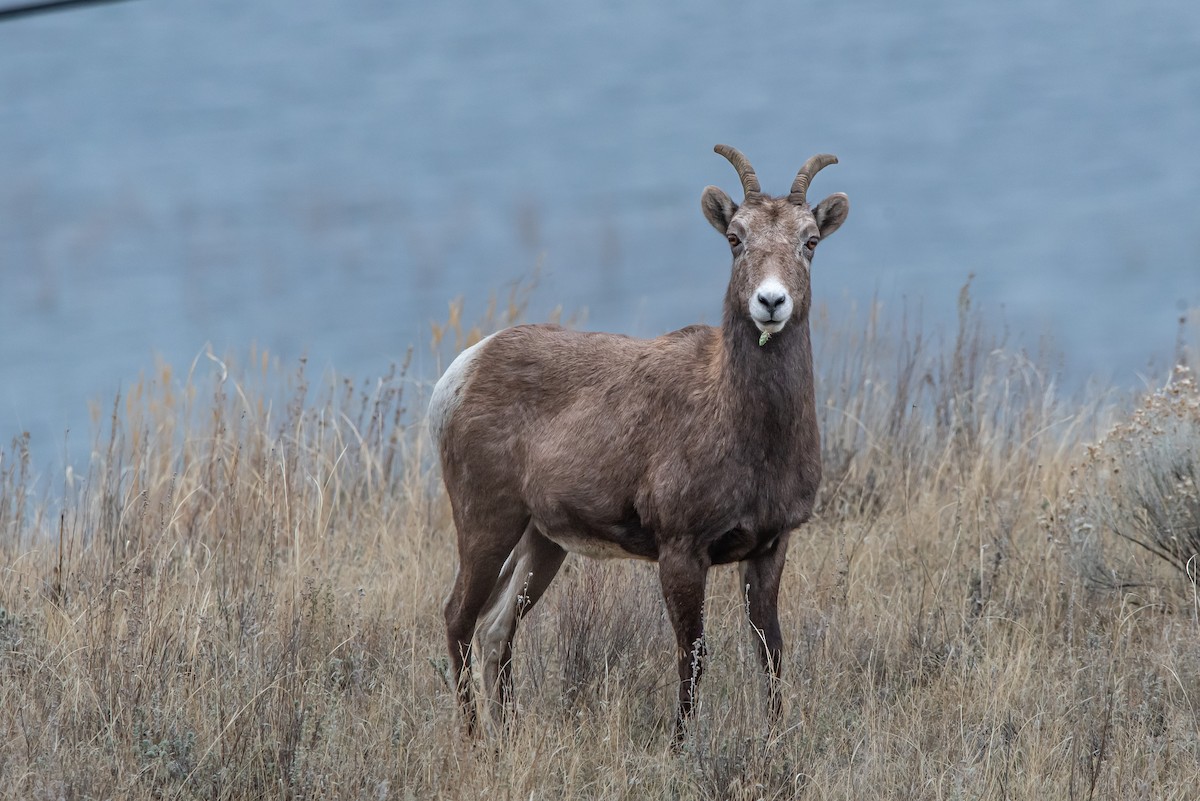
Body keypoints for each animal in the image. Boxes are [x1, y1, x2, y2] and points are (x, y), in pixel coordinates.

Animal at [429, 144, 849, 740]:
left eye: (809, 241)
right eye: (735, 238)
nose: (771, 302)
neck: (748, 432)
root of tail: (461, 372)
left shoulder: (771, 547)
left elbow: (771, 652)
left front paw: (773, 740)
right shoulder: (681, 551)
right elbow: (692, 656)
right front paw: (680, 745)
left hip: (543, 541)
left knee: (495, 627)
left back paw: (507, 734)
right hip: (487, 521)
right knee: (458, 618)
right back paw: (474, 741)